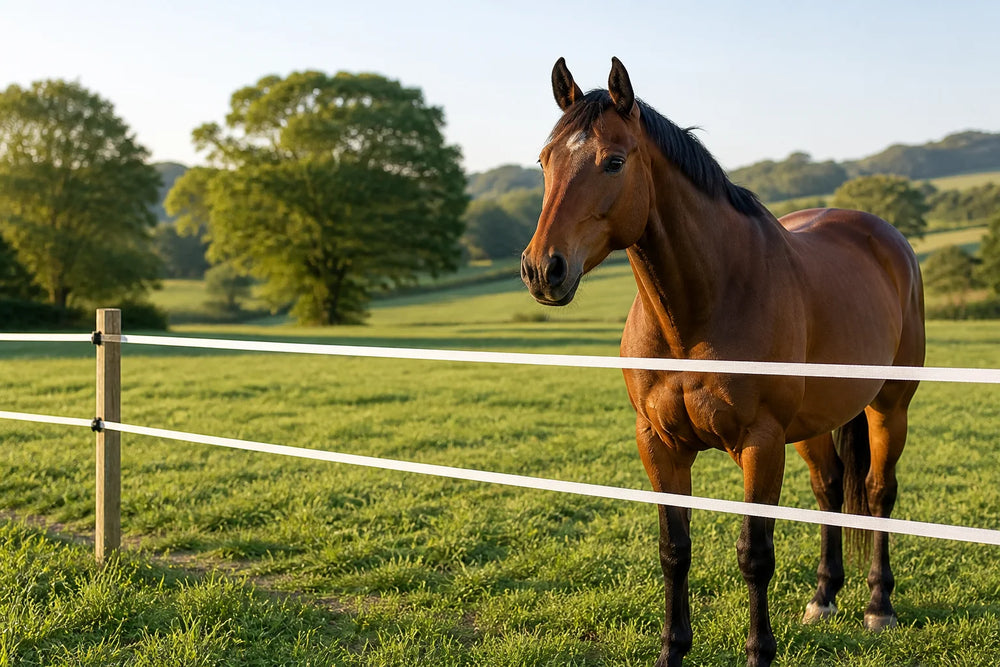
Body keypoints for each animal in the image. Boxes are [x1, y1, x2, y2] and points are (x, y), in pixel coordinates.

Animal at [520, 57, 925, 667]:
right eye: (546, 161)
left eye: (613, 161)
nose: (544, 269)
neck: (698, 310)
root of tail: (884, 236)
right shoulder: (660, 444)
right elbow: (674, 549)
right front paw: (672, 651)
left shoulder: (760, 442)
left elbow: (755, 554)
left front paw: (759, 651)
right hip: (811, 425)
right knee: (829, 489)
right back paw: (824, 597)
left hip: (888, 408)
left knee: (878, 492)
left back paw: (880, 606)